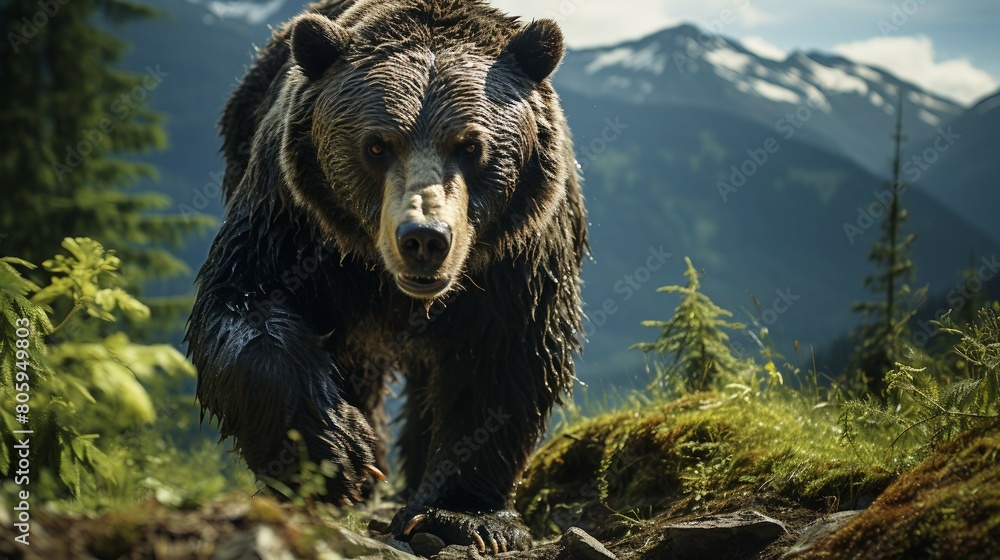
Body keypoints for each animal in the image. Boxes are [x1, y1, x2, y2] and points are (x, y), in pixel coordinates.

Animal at [186, 0, 586, 553]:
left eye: (470, 146)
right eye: (376, 146)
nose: (424, 239)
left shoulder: (519, 253)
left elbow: (507, 355)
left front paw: (460, 514)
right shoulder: (293, 218)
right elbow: (247, 304)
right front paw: (333, 453)